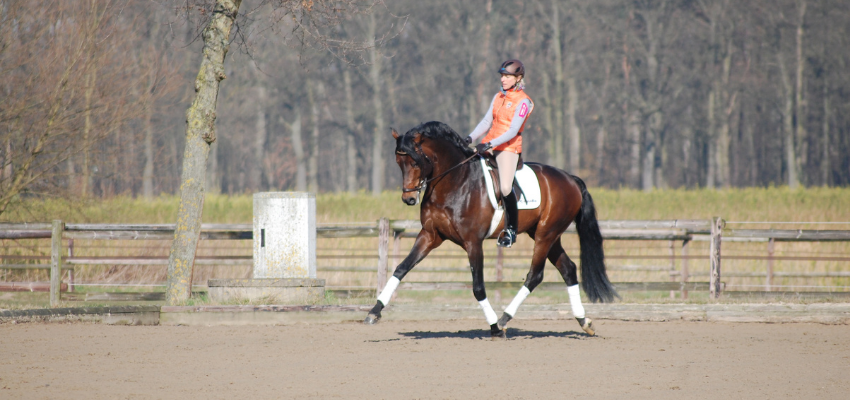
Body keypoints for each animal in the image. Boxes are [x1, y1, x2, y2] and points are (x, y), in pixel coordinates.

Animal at [364, 119, 616, 338]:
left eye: (415, 162)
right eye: (399, 163)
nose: (408, 199)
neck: (454, 182)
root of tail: (571, 179)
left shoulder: (473, 242)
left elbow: (478, 287)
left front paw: (494, 327)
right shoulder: (430, 235)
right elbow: (401, 269)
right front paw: (374, 312)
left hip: (546, 235)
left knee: (535, 275)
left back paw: (504, 320)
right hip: (547, 236)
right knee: (569, 269)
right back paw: (584, 322)